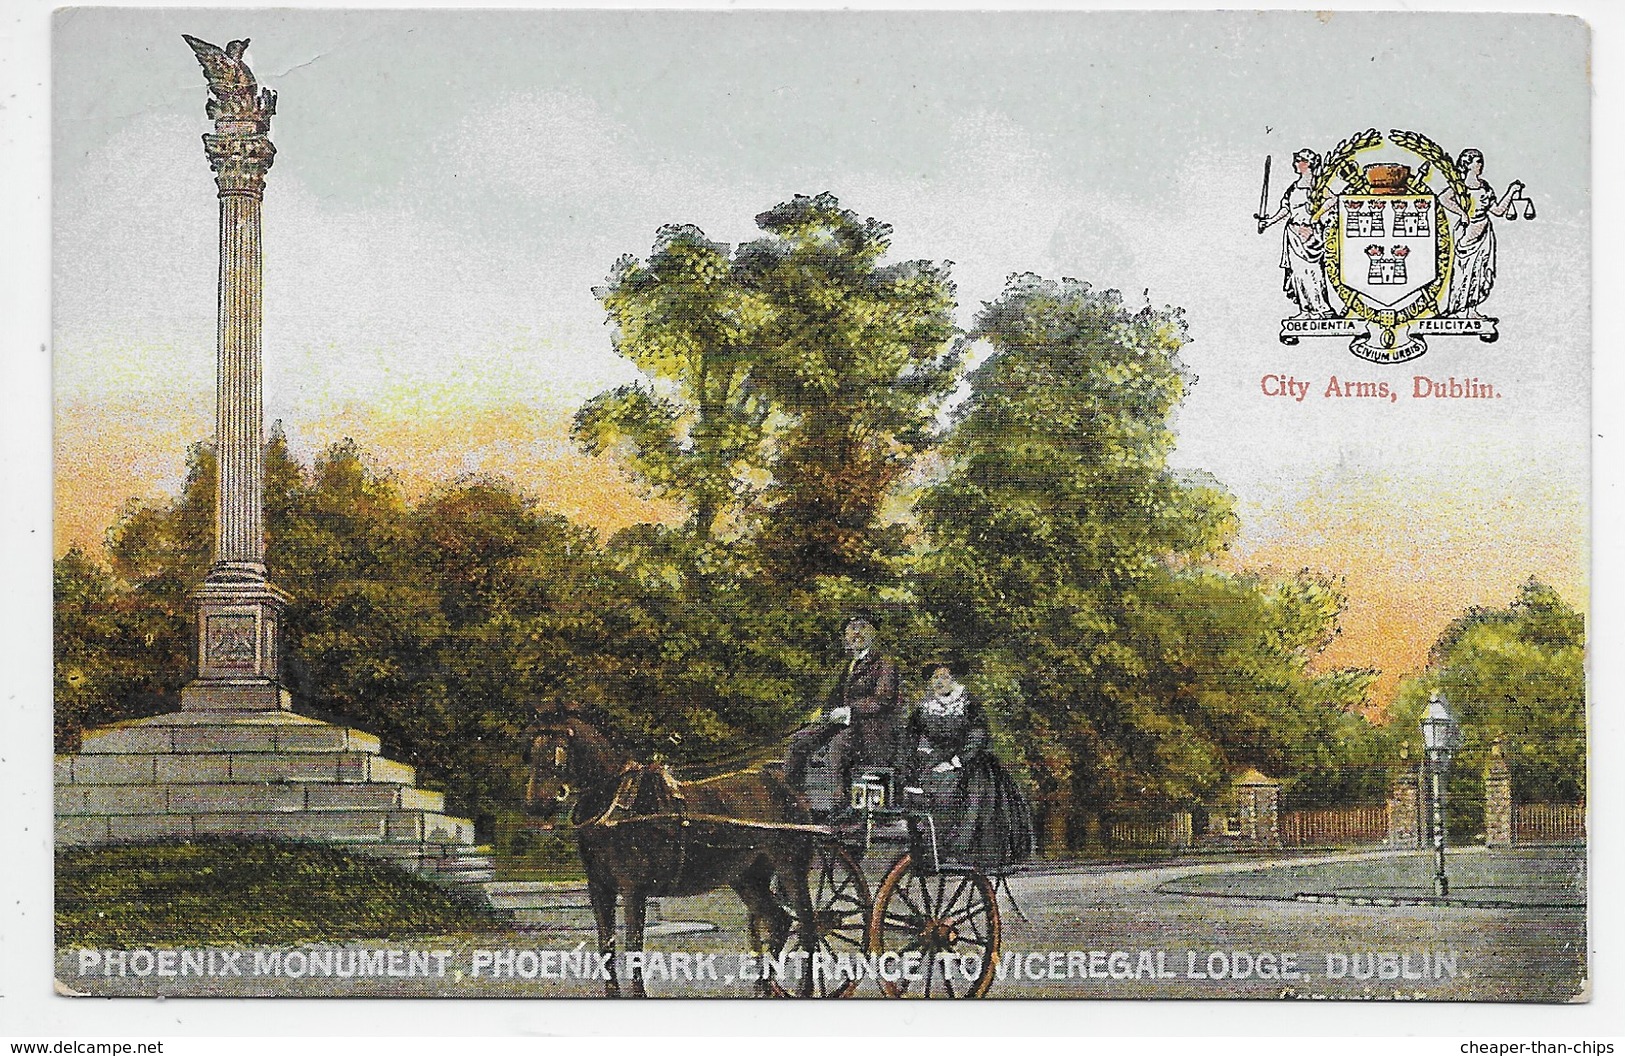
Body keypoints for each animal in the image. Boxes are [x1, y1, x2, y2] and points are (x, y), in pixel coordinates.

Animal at [523, 701, 825, 994]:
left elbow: (633, 945)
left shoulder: (633, 890)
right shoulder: (599, 887)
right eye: (532, 749)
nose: (535, 805)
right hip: (748, 877)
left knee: (808, 925)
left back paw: (805, 989)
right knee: (779, 921)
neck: (618, 806)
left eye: (558, 750)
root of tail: (787, 788)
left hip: (791, 869)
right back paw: (765, 986)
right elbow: (606, 944)